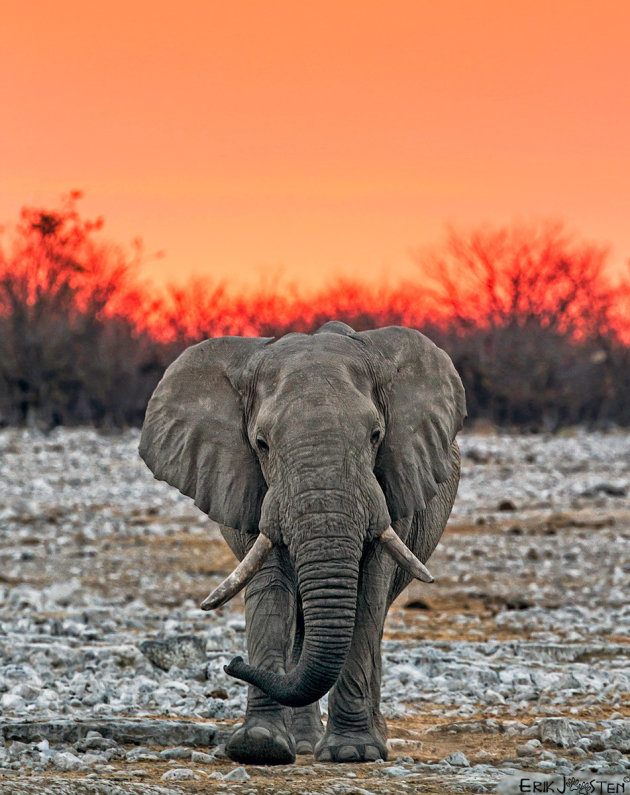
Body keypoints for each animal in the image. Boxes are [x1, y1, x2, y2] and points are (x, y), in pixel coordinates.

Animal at [141, 320, 466, 768]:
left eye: (375, 436)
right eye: (261, 443)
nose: (231, 663)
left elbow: (367, 592)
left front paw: (352, 752)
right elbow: (270, 586)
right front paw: (259, 746)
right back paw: (305, 743)